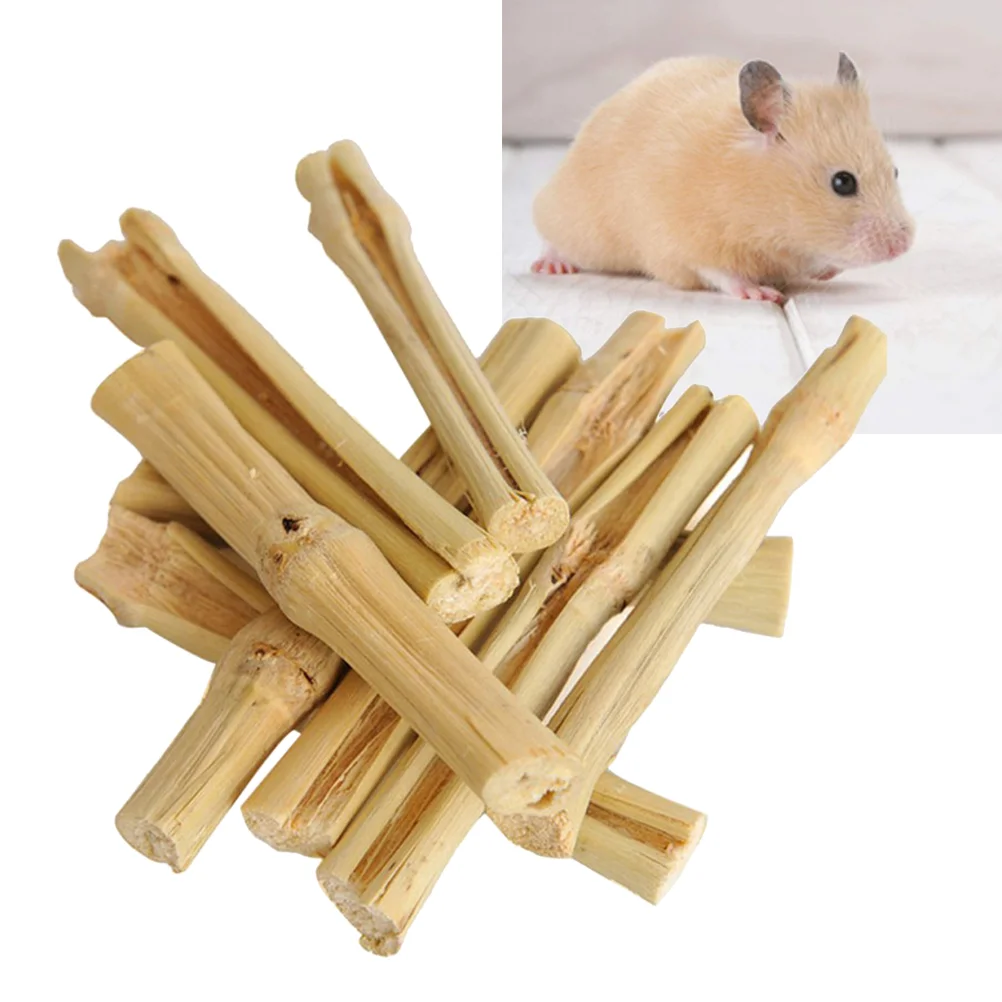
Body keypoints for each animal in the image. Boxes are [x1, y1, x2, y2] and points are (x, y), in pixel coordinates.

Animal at [531, 54, 915, 302]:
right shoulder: (681, 241)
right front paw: (761, 293)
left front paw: (825, 271)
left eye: (895, 171)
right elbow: (718, 272)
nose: (904, 245)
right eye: (843, 183)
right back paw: (551, 266)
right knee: (552, 235)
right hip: (575, 219)